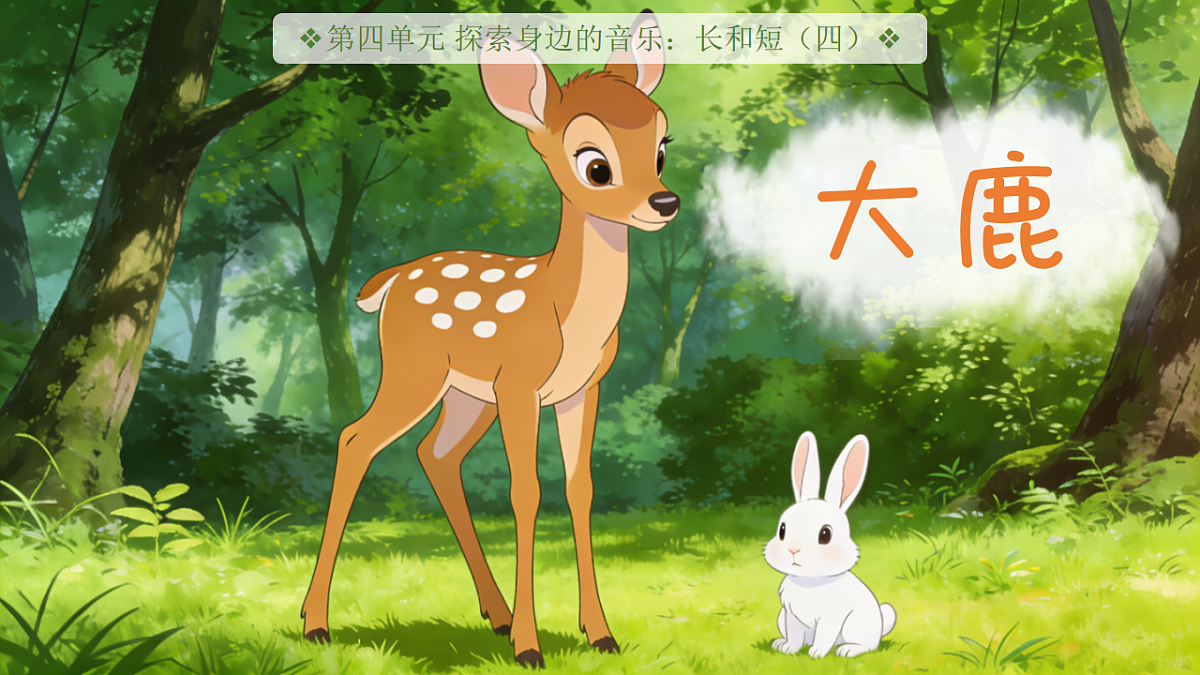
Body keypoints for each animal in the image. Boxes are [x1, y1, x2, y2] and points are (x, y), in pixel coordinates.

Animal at [300, 11, 678, 668]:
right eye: (595, 164)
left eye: (661, 147)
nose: (666, 201)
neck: (568, 314)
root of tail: (389, 283)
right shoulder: (521, 383)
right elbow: (525, 491)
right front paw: (532, 647)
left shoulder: (583, 388)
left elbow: (580, 489)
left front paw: (600, 634)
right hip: (416, 370)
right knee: (356, 440)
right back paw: (316, 623)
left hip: (467, 393)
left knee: (434, 454)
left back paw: (494, 615)